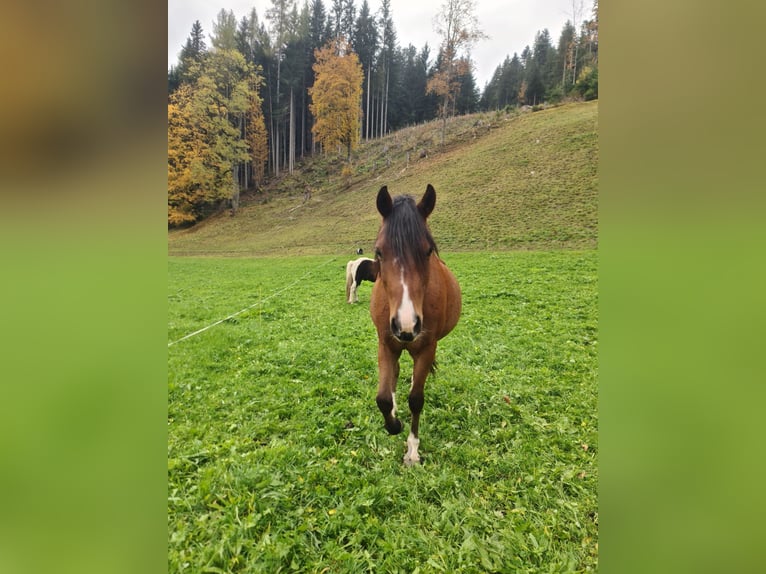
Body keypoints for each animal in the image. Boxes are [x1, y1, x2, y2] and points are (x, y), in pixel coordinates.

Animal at [369, 184, 462, 465]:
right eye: (379, 252)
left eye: (428, 250)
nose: (406, 325)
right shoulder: (386, 344)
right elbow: (383, 398)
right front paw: (394, 423)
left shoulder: (426, 348)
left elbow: (416, 399)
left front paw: (412, 449)